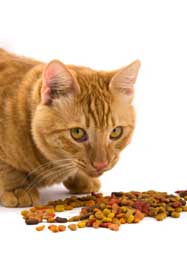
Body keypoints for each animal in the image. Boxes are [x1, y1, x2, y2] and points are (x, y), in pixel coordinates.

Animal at [0, 48, 140, 207]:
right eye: (77, 133)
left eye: (116, 132)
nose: (101, 164)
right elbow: (7, 168)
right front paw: (18, 187)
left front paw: (82, 179)